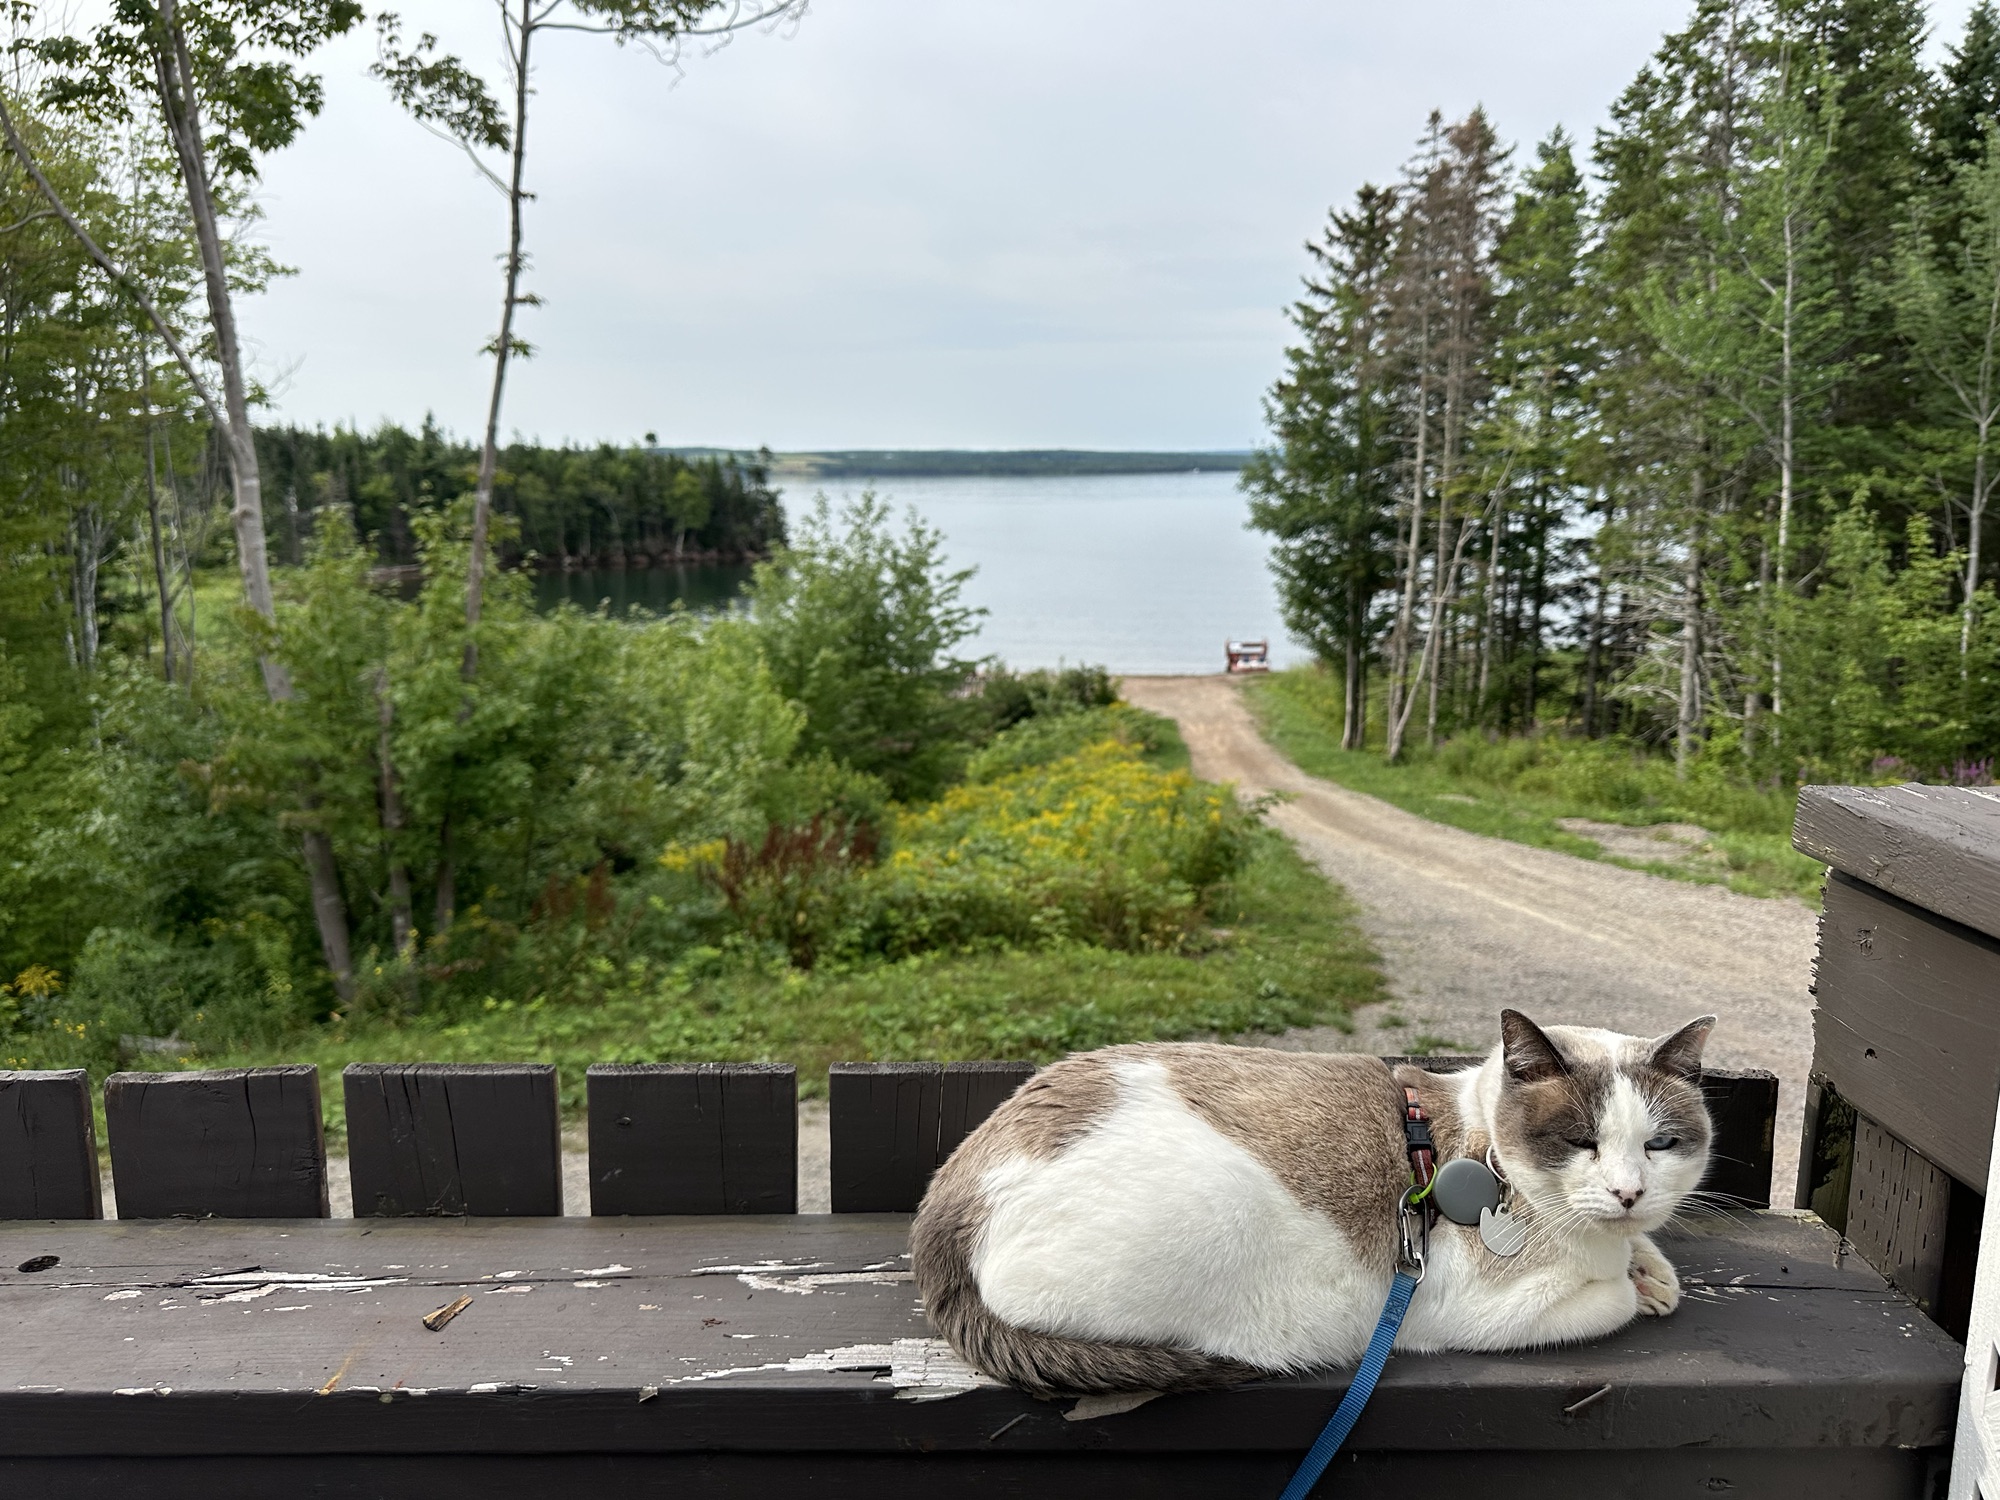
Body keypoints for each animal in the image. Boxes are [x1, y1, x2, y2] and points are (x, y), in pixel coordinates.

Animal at [911, 1009, 1716, 1395]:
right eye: (1581, 1141)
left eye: (1661, 1144)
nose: (1628, 1190)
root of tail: (946, 1196)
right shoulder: (1483, 1310)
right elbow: (1611, 1299)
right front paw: (1636, 1284)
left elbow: (1648, 1255)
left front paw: (1651, 1267)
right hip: (1219, 1214)